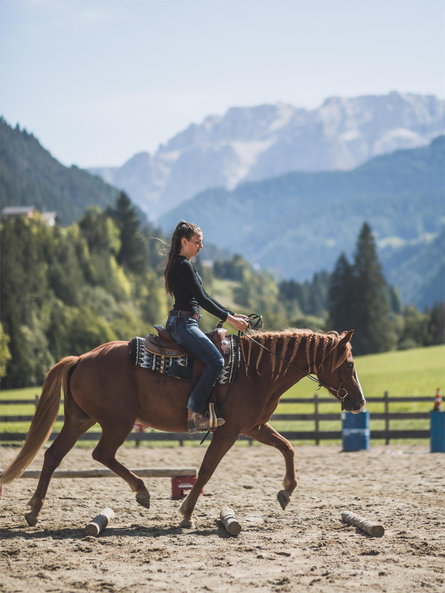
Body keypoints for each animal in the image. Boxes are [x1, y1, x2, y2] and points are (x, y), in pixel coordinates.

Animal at [0, 328, 364, 528]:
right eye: (348, 364)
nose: (359, 402)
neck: (255, 370)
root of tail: (81, 358)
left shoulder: (254, 426)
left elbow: (287, 447)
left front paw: (286, 491)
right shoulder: (229, 431)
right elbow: (206, 470)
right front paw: (186, 512)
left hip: (80, 419)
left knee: (53, 455)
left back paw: (34, 510)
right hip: (117, 422)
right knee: (101, 454)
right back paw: (142, 491)